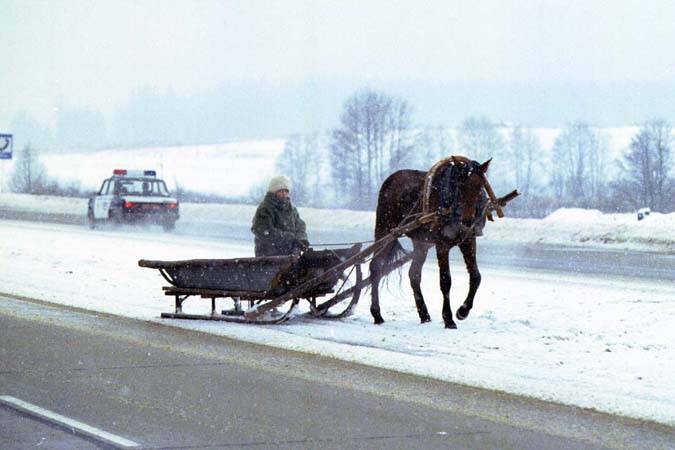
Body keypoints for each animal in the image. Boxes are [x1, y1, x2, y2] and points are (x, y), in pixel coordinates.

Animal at [370, 156, 496, 328]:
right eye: (460, 186)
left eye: (480, 188)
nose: (467, 222)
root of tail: (390, 179)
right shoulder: (442, 244)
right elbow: (445, 280)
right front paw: (448, 318)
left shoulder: (469, 240)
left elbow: (476, 276)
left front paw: (463, 311)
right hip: (385, 230)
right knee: (376, 267)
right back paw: (377, 314)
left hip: (421, 242)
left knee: (414, 274)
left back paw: (424, 315)